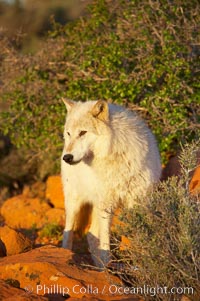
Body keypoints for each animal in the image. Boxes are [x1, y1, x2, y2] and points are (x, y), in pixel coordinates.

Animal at [61, 99, 161, 266]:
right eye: (69, 133)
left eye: (82, 132)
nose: (67, 157)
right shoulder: (106, 205)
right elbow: (105, 242)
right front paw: (107, 266)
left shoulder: (137, 202)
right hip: (74, 202)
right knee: (68, 233)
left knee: (90, 234)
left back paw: (99, 267)